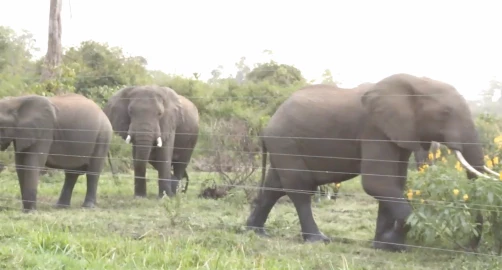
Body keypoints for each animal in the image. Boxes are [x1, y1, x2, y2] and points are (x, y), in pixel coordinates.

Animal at [244, 73, 498, 252]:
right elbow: (378, 183)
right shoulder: (375, 129)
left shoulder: (399, 132)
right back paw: (318, 240)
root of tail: (268, 125)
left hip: (283, 145)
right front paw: (393, 243)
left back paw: (255, 233)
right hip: (285, 142)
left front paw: (384, 246)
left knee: (274, 187)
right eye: (445, 113)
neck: (415, 82)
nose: (467, 247)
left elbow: (395, 182)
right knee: (300, 187)